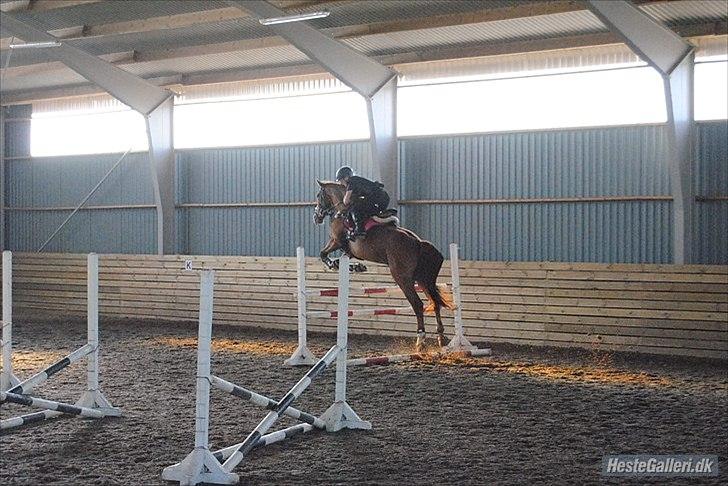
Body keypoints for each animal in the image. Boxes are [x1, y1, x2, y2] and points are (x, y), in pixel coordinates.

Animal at [314, 180, 456, 352]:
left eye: (319, 196)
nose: (316, 216)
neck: (341, 209)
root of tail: (418, 243)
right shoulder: (345, 249)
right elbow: (336, 256)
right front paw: (356, 267)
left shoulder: (336, 241)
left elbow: (323, 254)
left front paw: (334, 264)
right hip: (423, 280)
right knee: (435, 303)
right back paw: (441, 337)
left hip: (402, 278)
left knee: (418, 304)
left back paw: (420, 340)